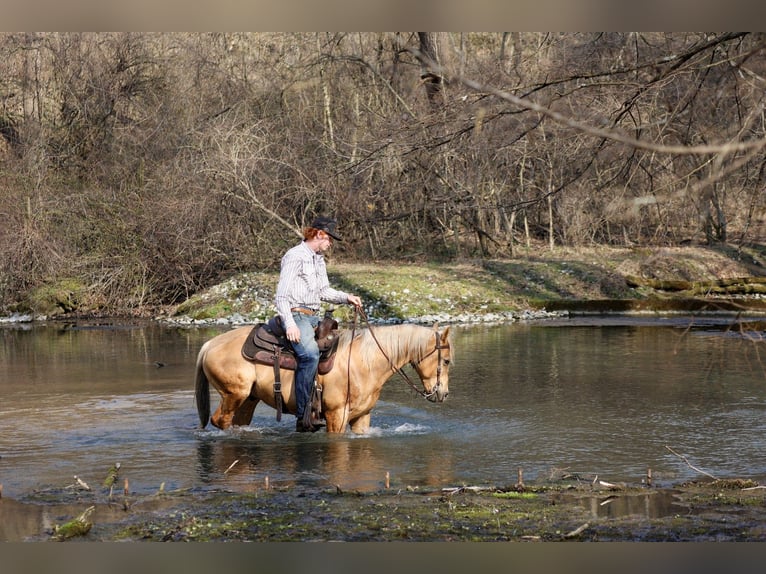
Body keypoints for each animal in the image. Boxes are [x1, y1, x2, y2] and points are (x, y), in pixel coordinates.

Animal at [195, 322, 452, 434]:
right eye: (447, 361)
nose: (443, 394)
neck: (363, 362)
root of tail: (208, 345)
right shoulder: (336, 415)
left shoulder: (362, 417)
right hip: (233, 394)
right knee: (220, 420)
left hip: (248, 400)